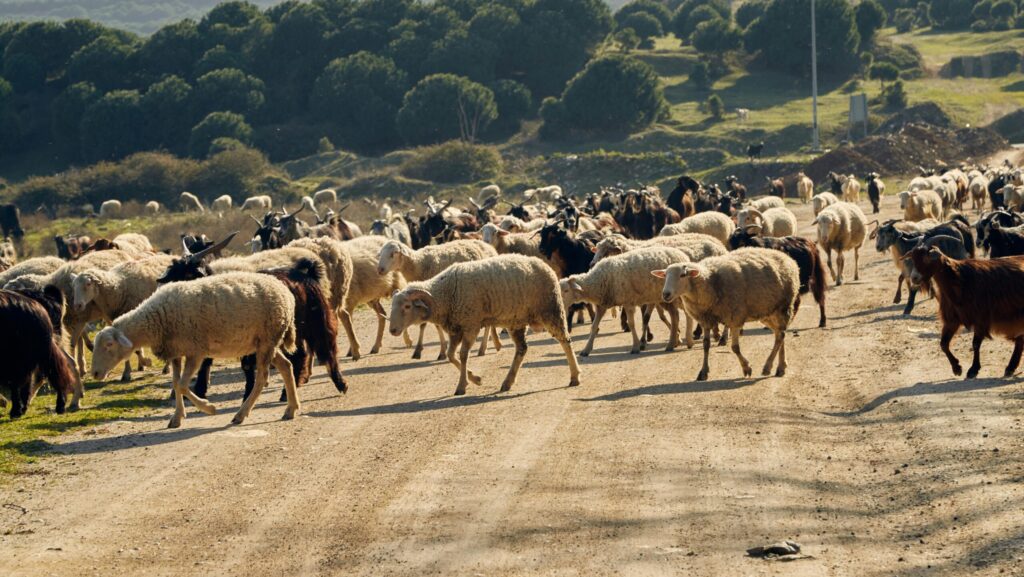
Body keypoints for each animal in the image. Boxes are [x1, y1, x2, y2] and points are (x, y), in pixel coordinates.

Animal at [70, 254, 176, 382]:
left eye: (88, 284)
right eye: (73, 286)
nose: (77, 305)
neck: (119, 288)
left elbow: (136, 350)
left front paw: (145, 363)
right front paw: (127, 372)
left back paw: (166, 367)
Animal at [90, 271, 298, 428]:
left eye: (109, 345)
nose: (95, 373)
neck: (157, 319)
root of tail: (285, 291)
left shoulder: (195, 351)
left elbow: (183, 385)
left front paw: (208, 408)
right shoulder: (175, 352)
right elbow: (176, 383)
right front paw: (177, 417)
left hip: (267, 339)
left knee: (262, 377)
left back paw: (241, 414)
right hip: (265, 342)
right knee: (286, 366)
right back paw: (291, 409)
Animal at [389, 254, 580, 395]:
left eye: (407, 306)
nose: (392, 330)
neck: (445, 293)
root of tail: (544, 264)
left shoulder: (470, 325)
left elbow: (463, 355)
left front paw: (462, 385)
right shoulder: (456, 329)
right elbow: (451, 355)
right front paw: (475, 378)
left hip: (551, 309)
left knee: (565, 341)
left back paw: (575, 376)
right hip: (517, 321)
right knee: (522, 349)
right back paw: (507, 382)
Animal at [655, 247, 799, 381]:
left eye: (683, 275)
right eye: (665, 275)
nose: (665, 294)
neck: (710, 281)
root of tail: (785, 257)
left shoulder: (735, 317)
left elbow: (735, 347)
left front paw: (747, 368)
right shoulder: (705, 320)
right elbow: (706, 345)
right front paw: (703, 372)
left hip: (783, 306)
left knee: (780, 335)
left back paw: (767, 367)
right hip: (767, 312)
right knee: (779, 334)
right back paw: (781, 367)